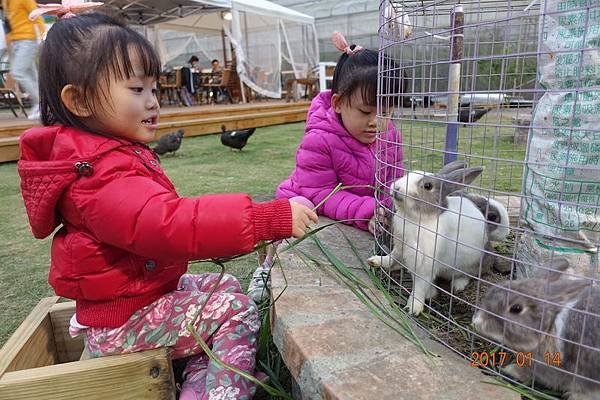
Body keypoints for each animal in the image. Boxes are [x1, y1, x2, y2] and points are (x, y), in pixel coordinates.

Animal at [366, 160, 510, 316]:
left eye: (428, 186)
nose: (397, 188)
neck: (416, 218)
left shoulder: (424, 264)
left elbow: (420, 286)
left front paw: (413, 308)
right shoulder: (400, 247)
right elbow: (391, 258)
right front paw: (375, 261)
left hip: (474, 262)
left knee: (470, 274)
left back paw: (458, 284)